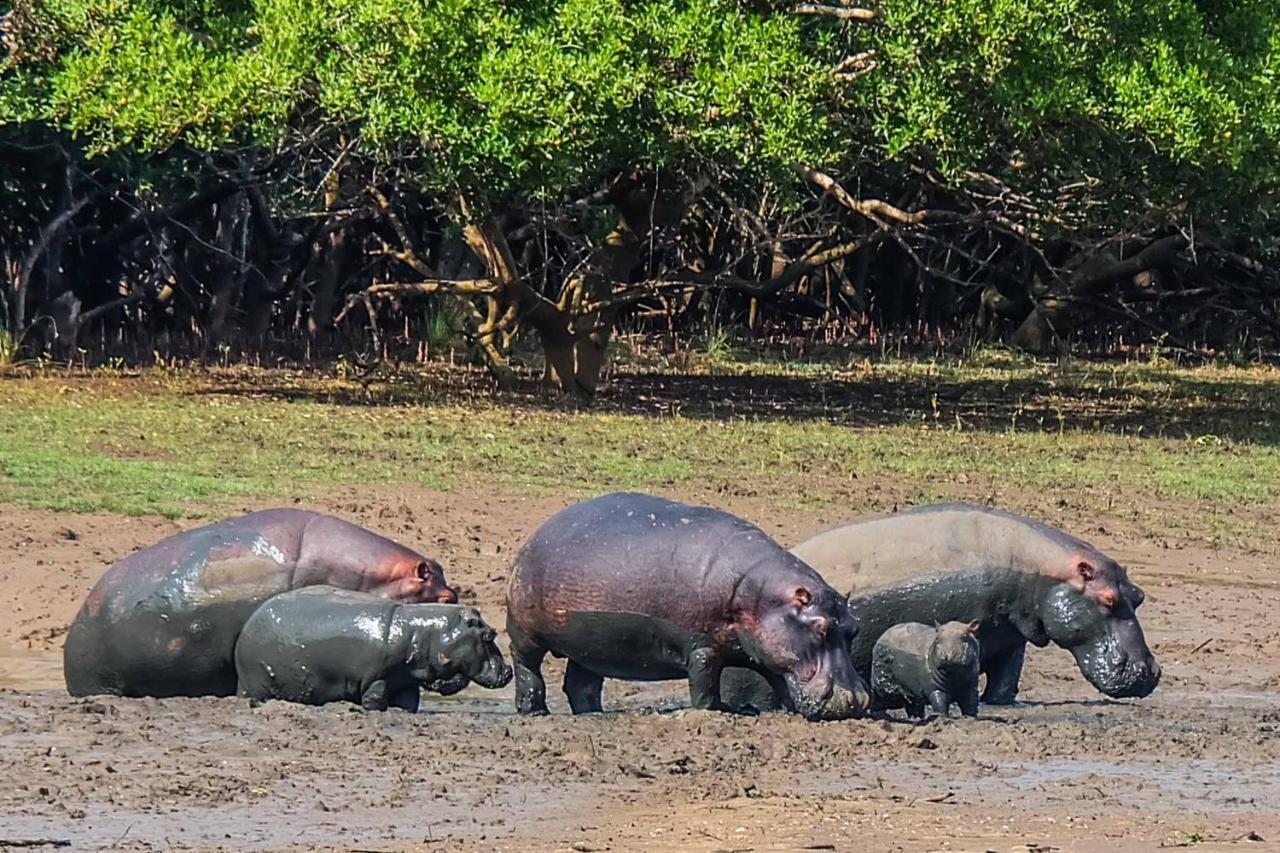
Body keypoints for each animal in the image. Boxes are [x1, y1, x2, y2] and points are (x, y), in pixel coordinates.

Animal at [232, 584, 512, 712]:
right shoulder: (377, 680)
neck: (422, 632)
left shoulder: (405, 682)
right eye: (489, 635)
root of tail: (247, 624)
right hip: (255, 684)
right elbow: (374, 699)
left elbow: (408, 704)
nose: (509, 671)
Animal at [499, 491, 870, 717]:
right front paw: (720, 710)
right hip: (526, 632)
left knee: (581, 682)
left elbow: (780, 679)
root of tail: (537, 534)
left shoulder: (767, 650)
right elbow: (704, 684)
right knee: (528, 668)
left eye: (853, 629)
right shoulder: (701, 646)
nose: (855, 700)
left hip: (591, 642)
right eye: (820, 629)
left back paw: (593, 712)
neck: (759, 593)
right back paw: (535, 710)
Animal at [721, 502, 1162, 706]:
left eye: (1138, 595)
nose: (1151, 671)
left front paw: (997, 702)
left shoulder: (1011, 632)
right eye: (1108, 599)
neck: (1040, 570)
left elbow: (1006, 676)